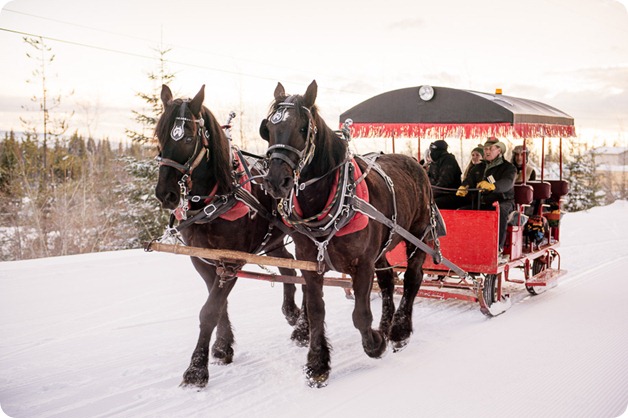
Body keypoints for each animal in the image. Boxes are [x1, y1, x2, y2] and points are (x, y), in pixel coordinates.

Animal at [155, 85, 306, 388]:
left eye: (188, 137)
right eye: (159, 135)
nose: (165, 194)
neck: (213, 199)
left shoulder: (232, 261)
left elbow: (210, 310)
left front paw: (196, 370)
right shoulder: (203, 259)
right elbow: (218, 304)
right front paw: (223, 346)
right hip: (272, 238)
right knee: (289, 267)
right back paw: (291, 313)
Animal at [258, 80, 432, 386]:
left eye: (302, 128)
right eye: (268, 128)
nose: (276, 181)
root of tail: (416, 162)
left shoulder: (362, 264)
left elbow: (360, 314)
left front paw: (375, 343)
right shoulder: (310, 263)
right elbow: (316, 311)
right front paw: (317, 363)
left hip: (419, 236)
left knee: (412, 278)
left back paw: (399, 330)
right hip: (382, 248)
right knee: (388, 280)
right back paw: (386, 324)